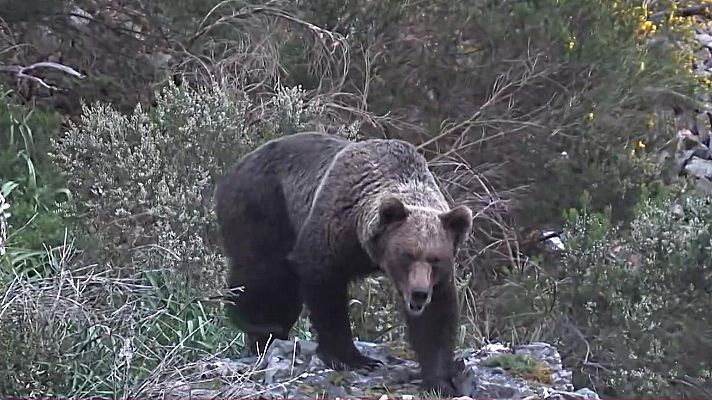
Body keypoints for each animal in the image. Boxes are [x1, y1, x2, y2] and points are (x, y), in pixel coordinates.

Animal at [215, 131, 473, 396]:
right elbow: (326, 290)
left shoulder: (436, 277)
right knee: (264, 277)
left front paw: (441, 380)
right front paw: (353, 358)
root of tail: (235, 166)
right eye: (407, 255)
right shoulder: (333, 229)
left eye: (435, 259)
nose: (419, 294)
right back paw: (261, 329)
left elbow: (436, 319)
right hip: (264, 208)